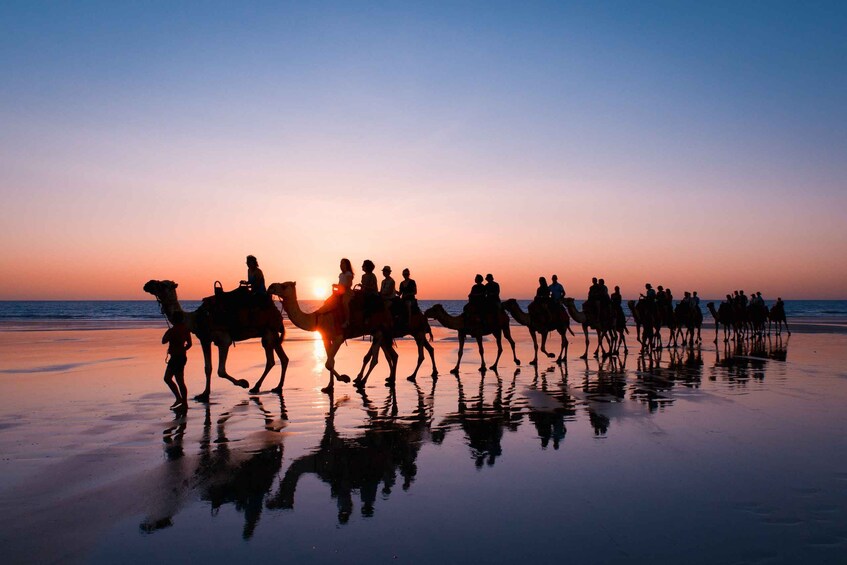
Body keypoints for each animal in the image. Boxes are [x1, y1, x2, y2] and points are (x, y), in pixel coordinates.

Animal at [145, 280, 288, 398]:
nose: (148, 284)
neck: (195, 319)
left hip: (269, 333)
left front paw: (243, 383)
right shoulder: (205, 339)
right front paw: (204, 394)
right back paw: (275, 387)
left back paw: (256, 387)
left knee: (272, 360)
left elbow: (221, 371)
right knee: (282, 359)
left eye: (163, 284)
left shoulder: (224, 340)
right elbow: (208, 368)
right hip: (271, 334)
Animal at [266, 282, 396, 392]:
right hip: (377, 332)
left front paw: (344, 378)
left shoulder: (339, 337)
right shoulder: (326, 337)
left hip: (379, 330)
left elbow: (328, 363)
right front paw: (329, 386)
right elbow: (330, 360)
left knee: (376, 359)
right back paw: (383, 379)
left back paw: (362, 382)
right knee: (387, 354)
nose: (271, 287)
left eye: (284, 285)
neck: (317, 318)